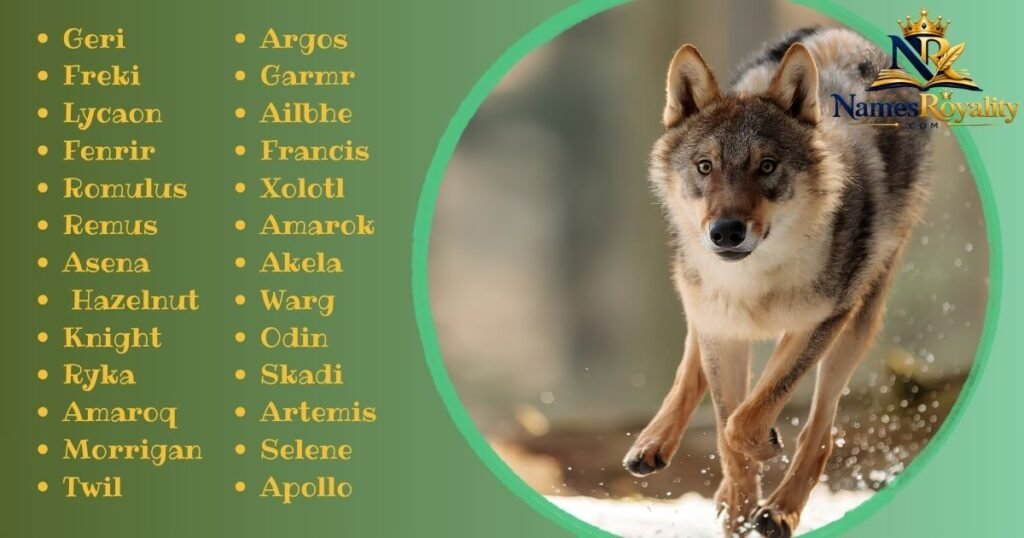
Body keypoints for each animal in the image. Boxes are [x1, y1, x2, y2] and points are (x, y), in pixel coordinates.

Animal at [622, 27, 930, 537]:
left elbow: (746, 420)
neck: (753, 281)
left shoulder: (819, 323)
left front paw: (760, 479)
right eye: (705, 166)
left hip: (857, 324)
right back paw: (655, 445)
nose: (726, 232)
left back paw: (781, 510)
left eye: (766, 166)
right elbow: (727, 429)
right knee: (693, 366)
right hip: (702, 304)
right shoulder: (722, 330)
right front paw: (739, 509)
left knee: (820, 431)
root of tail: (841, 33)